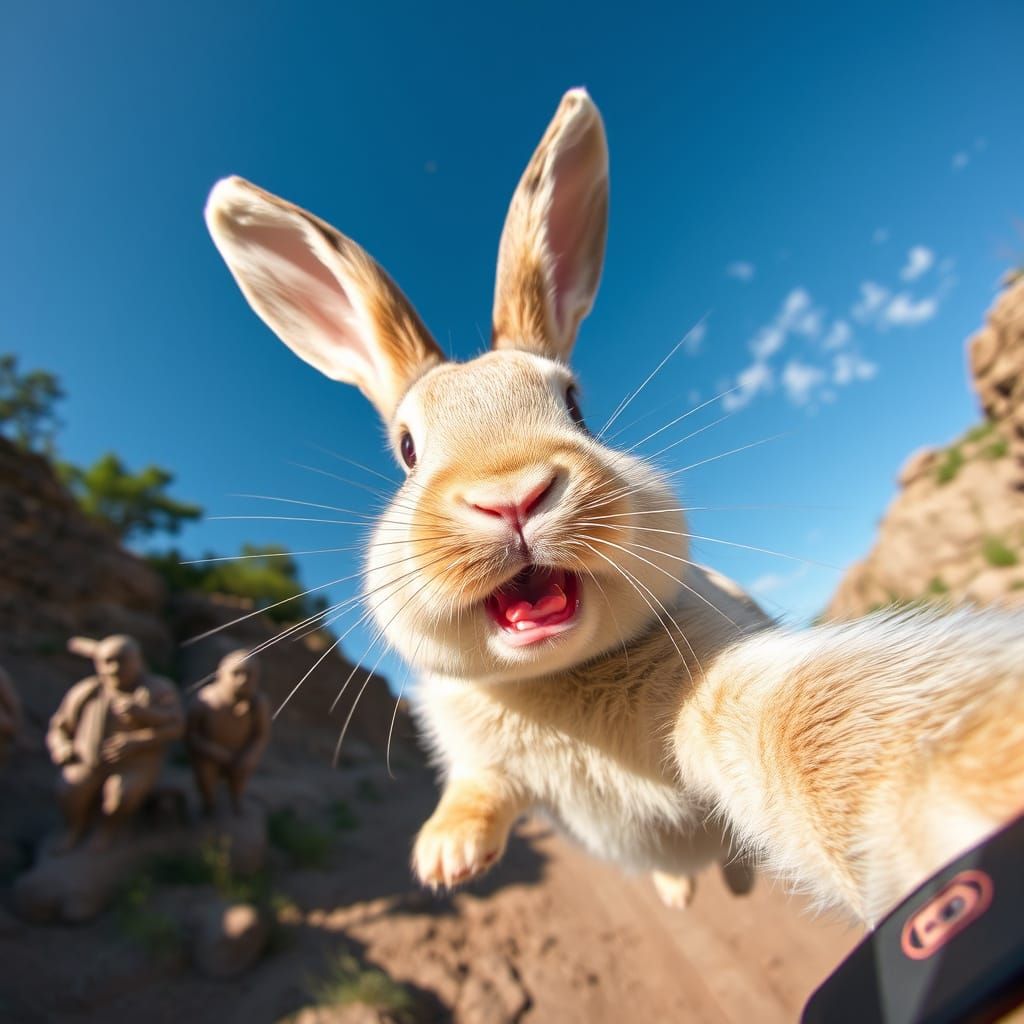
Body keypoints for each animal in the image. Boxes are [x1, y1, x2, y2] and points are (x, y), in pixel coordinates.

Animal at [204, 87, 1024, 926]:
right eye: (406, 448)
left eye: (575, 406)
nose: (512, 497)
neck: (555, 675)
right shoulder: (482, 759)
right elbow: (479, 789)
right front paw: (445, 856)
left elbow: (803, 720)